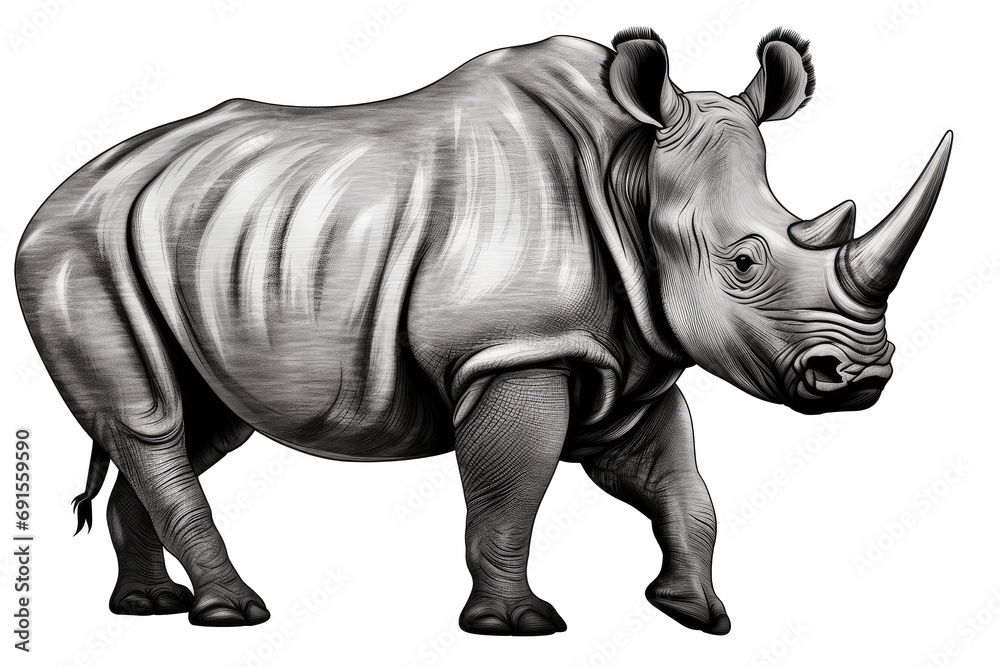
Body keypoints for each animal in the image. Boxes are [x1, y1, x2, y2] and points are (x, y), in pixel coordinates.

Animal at [15, 26, 951, 635]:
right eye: (746, 262)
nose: (860, 378)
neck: (632, 172)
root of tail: (58, 192)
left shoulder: (630, 357)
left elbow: (682, 484)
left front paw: (696, 614)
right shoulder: (514, 346)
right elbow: (514, 483)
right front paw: (517, 624)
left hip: (198, 243)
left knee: (197, 424)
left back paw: (149, 608)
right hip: (71, 248)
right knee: (152, 423)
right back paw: (234, 614)